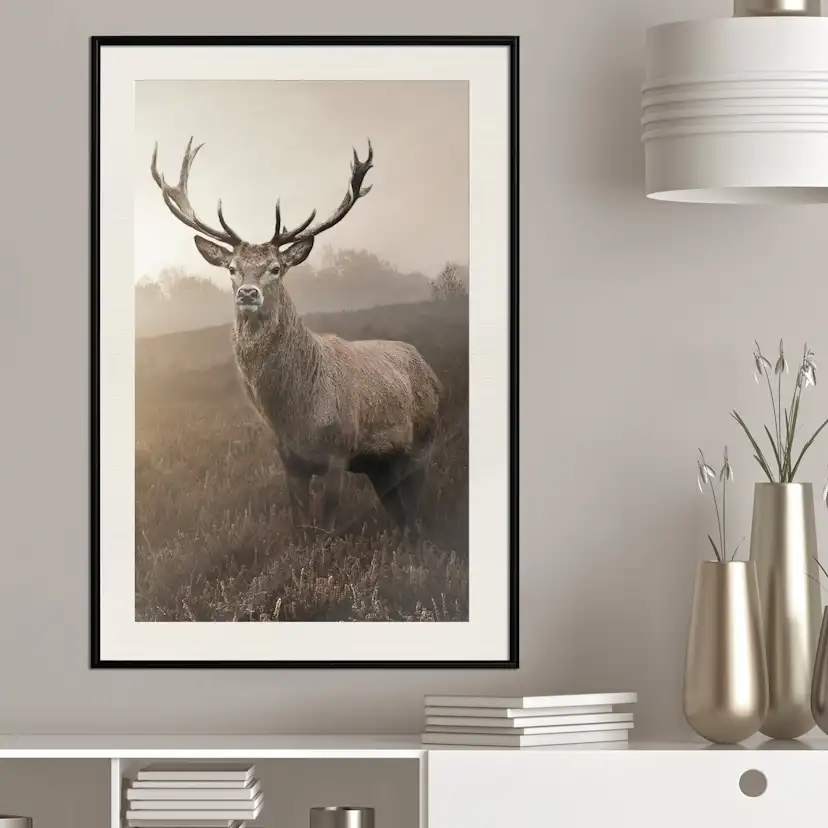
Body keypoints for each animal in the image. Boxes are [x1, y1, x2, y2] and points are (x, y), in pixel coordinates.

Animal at [150, 137, 442, 537]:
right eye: (232, 268)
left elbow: (328, 524)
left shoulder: (339, 450)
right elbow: (300, 525)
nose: (248, 293)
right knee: (399, 513)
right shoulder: (289, 461)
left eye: (276, 268)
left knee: (414, 511)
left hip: (423, 442)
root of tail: (430, 369)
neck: (296, 414)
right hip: (381, 466)